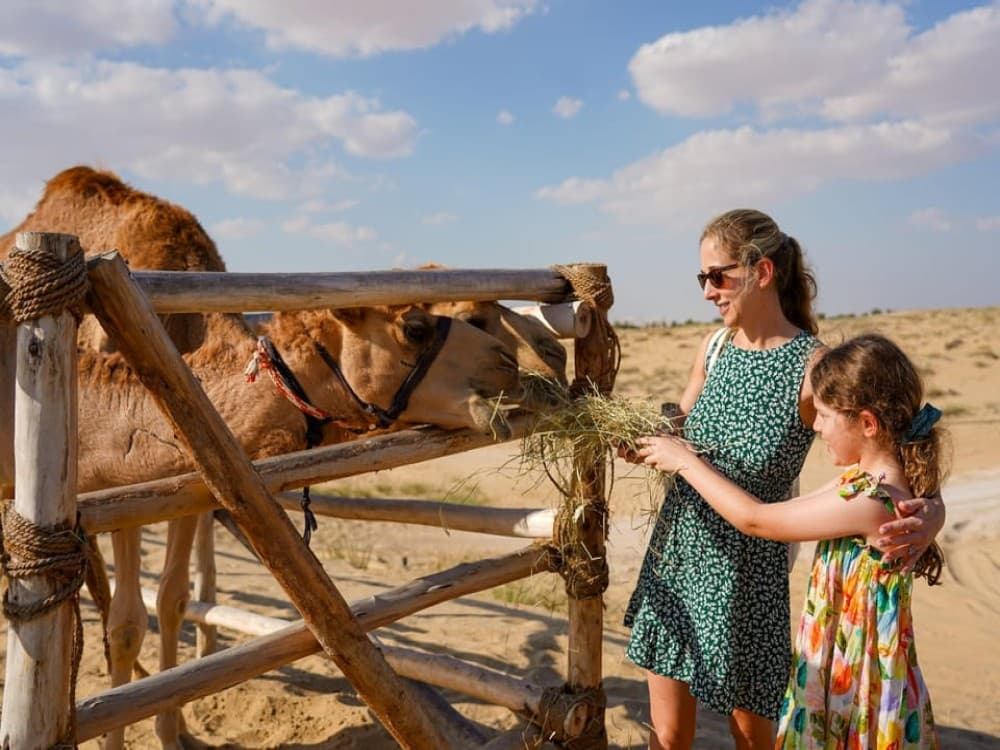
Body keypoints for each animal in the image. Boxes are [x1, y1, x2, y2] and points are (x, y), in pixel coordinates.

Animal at [1, 166, 559, 749]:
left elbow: (171, 598)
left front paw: (177, 727)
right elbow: (127, 621)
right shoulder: (117, 482)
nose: (533, 362)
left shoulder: (185, 469)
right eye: (417, 327)